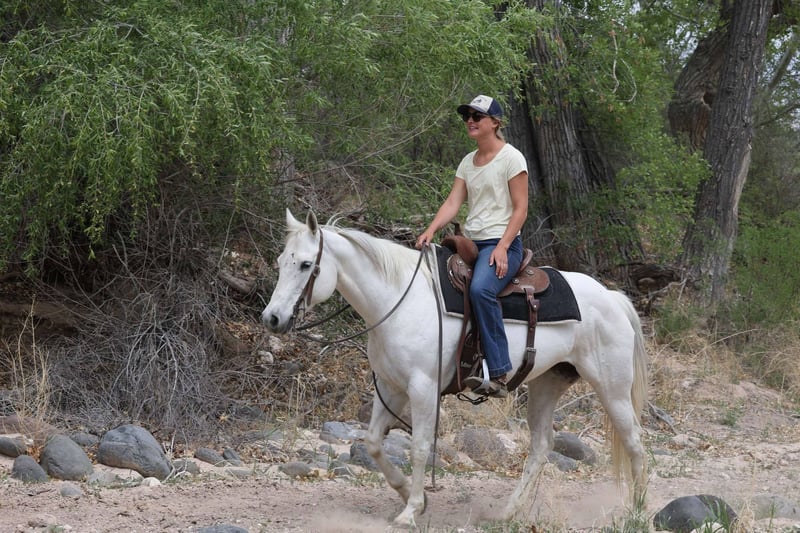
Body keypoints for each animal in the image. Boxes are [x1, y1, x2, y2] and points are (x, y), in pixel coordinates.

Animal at [261, 209, 648, 528]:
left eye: (306, 265)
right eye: (281, 261)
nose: (272, 318)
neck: (397, 300)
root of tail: (612, 298)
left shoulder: (422, 387)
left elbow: (419, 447)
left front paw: (410, 510)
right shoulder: (390, 386)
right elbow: (372, 442)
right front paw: (408, 493)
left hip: (612, 388)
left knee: (633, 441)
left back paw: (639, 509)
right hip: (546, 384)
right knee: (541, 446)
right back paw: (508, 512)